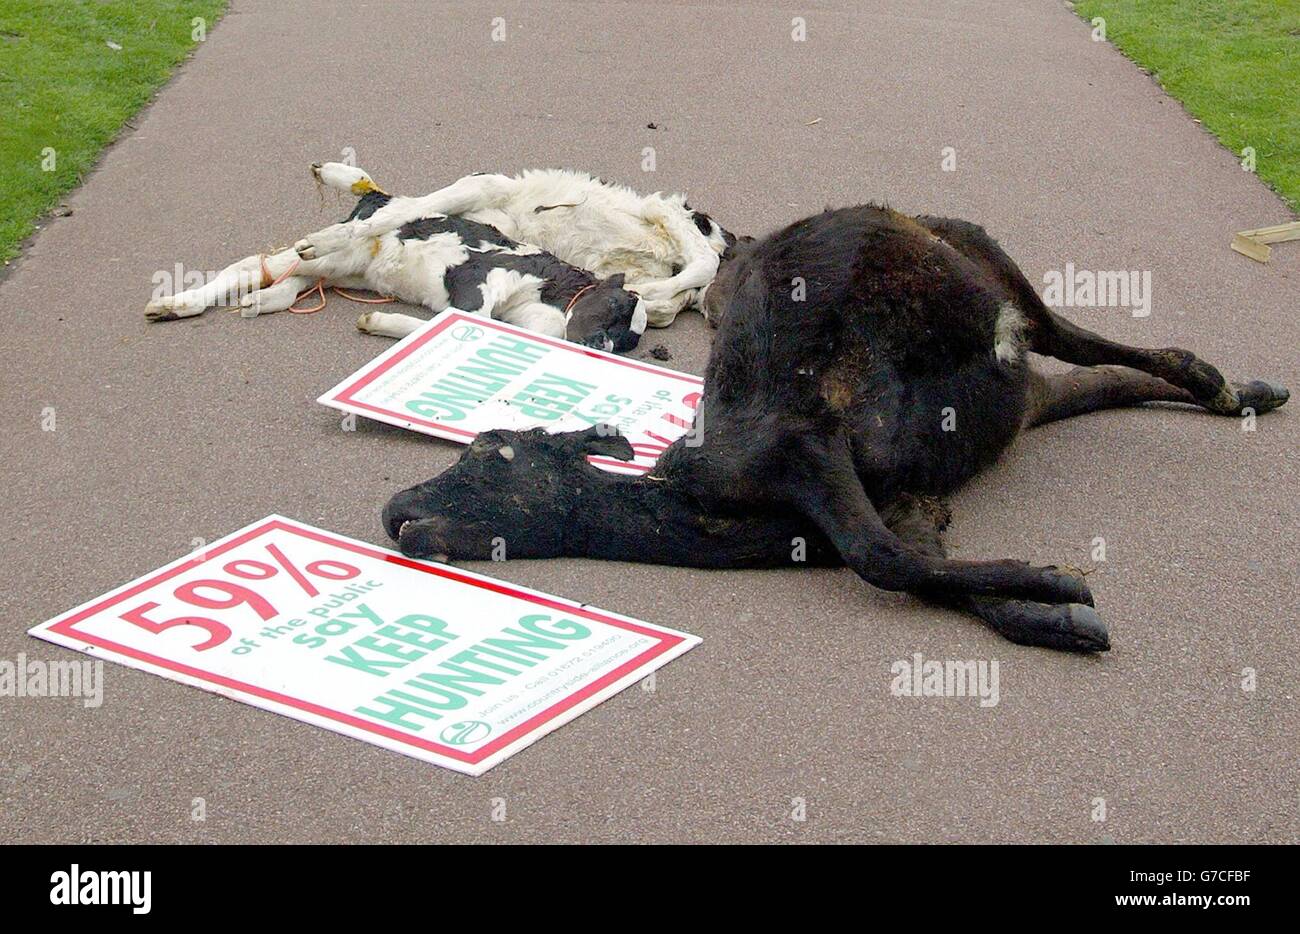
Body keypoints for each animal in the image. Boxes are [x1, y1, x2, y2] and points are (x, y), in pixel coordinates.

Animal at [144, 162, 647, 353]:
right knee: (252, 265)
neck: (547, 294)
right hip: (334, 249)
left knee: (288, 280)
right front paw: (378, 323)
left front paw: (375, 322)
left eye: (628, 341)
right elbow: (451, 324)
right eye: (617, 307)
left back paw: (261, 301)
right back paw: (175, 304)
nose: (597, 348)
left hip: (346, 270)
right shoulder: (475, 286)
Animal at [379, 208, 1289, 655]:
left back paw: (1215, 382)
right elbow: (929, 571)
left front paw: (1056, 582)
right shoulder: (915, 500)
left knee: (1071, 334)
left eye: (491, 451)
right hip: (1024, 394)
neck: (713, 518)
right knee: (1096, 374)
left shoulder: (804, 446)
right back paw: (1245, 389)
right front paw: (1049, 611)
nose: (395, 510)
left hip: (985, 266)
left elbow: (882, 561)